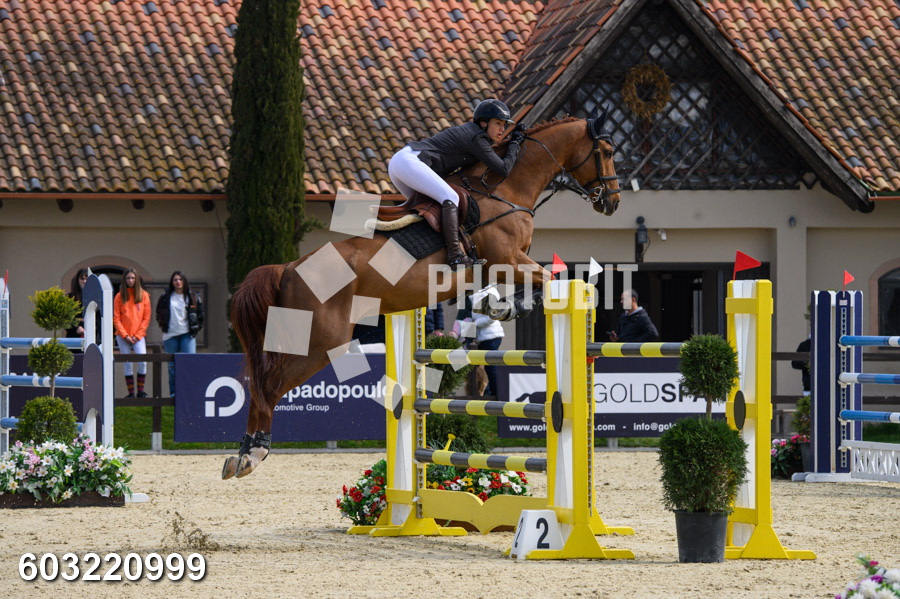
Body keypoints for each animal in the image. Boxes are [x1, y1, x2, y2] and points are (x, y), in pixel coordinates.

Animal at [222, 111, 622, 479]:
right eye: (606, 151)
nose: (613, 202)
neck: (506, 189)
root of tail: (289, 267)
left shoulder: (509, 263)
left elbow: (536, 281)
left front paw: (503, 306)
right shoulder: (506, 260)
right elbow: (549, 276)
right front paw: (511, 306)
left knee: (262, 383)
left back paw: (241, 455)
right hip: (320, 343)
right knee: (268, 385)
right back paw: (252, 454)